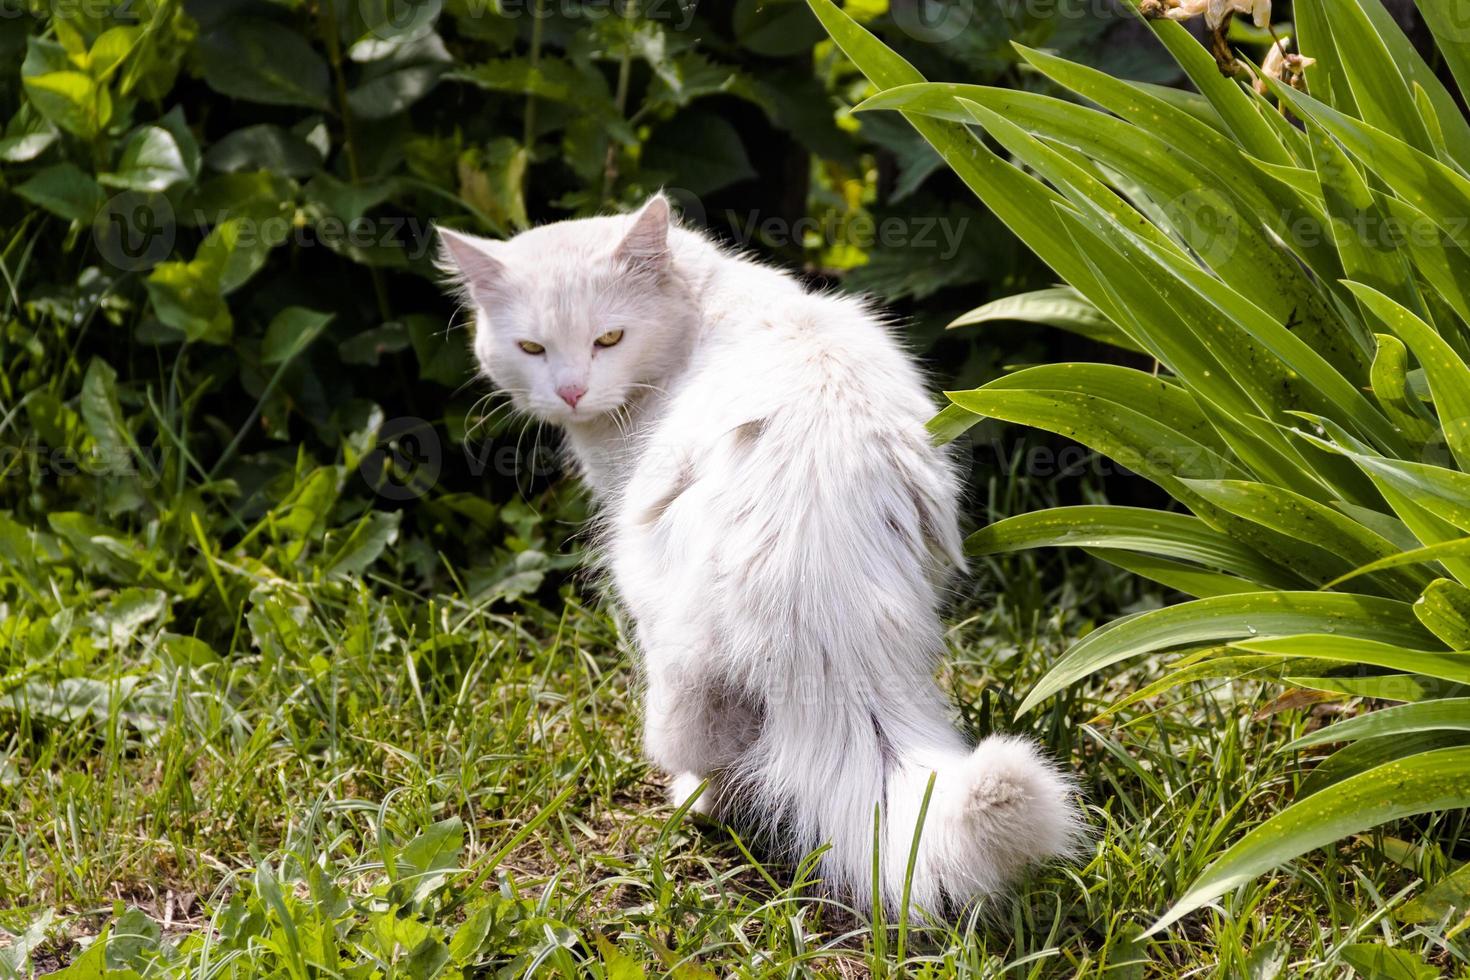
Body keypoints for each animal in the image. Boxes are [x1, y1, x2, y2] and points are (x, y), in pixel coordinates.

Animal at [435, 195, 1081, 916]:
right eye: (532, 349)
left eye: (609, 340)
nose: (571, 391)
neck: (700, 301)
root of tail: (818, 581)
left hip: (672, 650)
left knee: (711, 755)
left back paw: (693, 801)